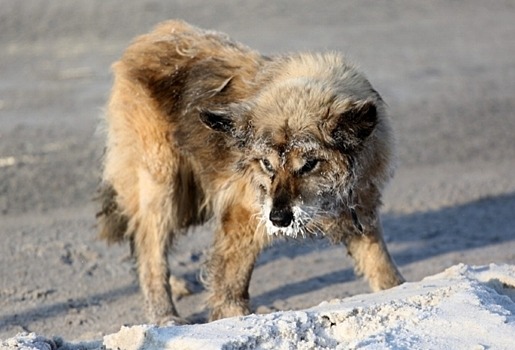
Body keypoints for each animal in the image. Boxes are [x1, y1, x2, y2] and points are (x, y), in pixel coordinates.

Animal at [95, 20, 404, 324]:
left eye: (309, 164)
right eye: (267, 164)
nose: (279, 218)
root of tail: (147, 40)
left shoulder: (360, 211)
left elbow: (383, 269)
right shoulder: (243, 215)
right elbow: (231, 282)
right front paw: (233, 318)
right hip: (164, 187)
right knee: (150, 251)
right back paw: (165, 316)